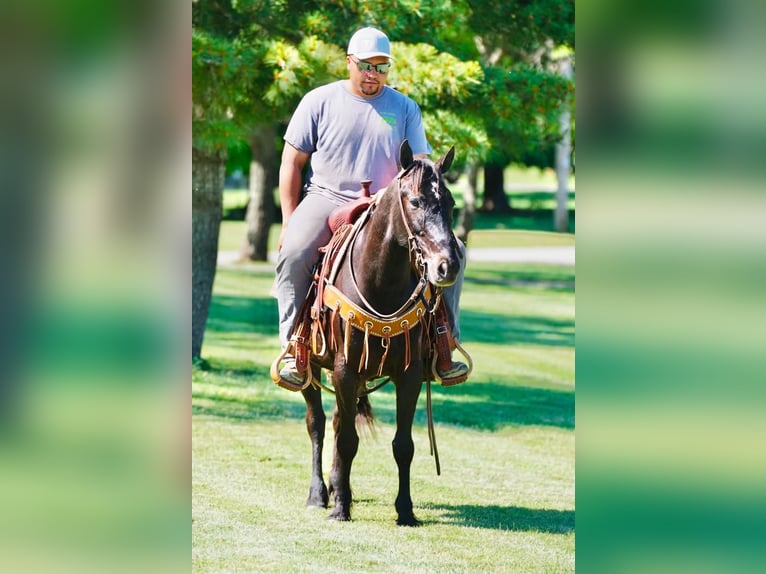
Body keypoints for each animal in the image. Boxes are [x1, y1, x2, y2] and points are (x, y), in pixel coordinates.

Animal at [288, 140, 463, 526]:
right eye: (415, 201)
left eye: (451, 203)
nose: (448, 265)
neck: (382, 284)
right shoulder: (344, 369)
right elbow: (346, 441)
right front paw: (339, 508)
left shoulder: (409, 374)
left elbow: (403, 445)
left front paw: (406, 510)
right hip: (312, 370)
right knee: (317, 424)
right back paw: (320, 493)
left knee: (338, 422)